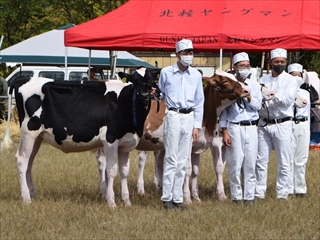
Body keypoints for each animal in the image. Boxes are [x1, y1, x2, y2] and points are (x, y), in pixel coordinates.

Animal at [2, 67, 161, 206]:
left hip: (38, 137)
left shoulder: (125, 143)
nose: (144, 94)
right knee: (22, 160)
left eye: (150, 79)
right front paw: (111, 202)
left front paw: (127, 201)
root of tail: (23, 79)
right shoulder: (110, 140)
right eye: (134, 81)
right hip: (28, 132)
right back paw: (26, 198)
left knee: (29, 163)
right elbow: (111, 171)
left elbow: (124, 171)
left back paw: (33, 195)